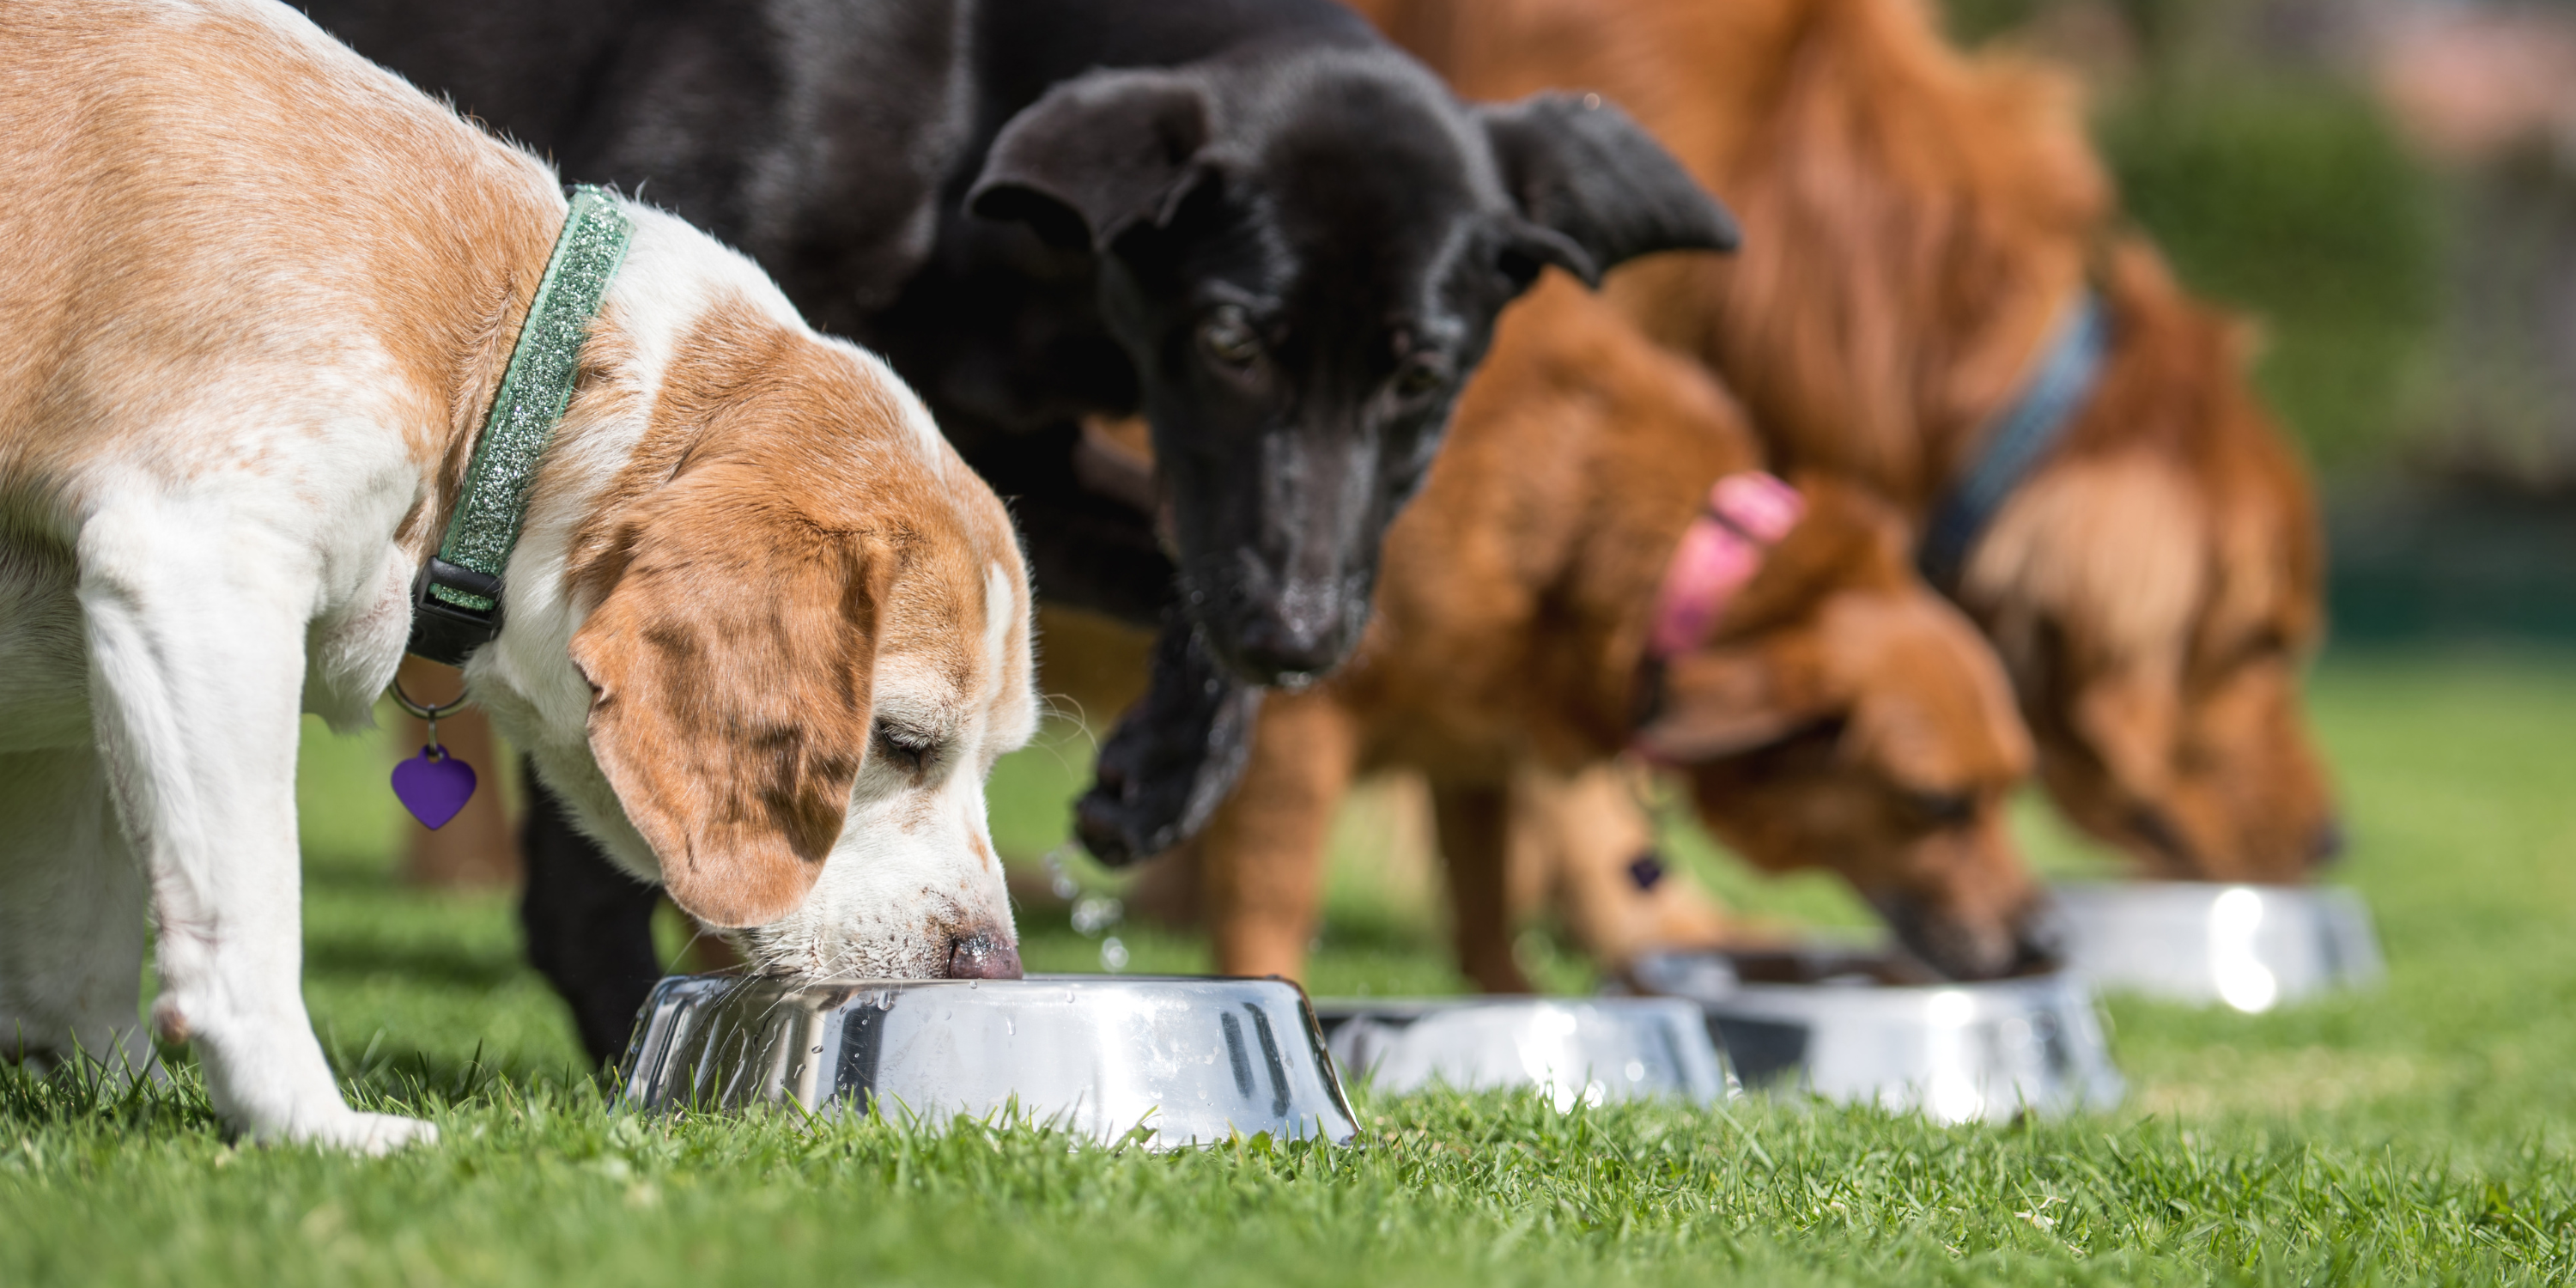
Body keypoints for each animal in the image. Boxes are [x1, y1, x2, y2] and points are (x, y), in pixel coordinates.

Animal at [0, 0, 1036, 1149]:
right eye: (900, 742)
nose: (996, 967)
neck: (511, 359)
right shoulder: (198, 569)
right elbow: (247, 917)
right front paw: (311, 1127)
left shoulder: (79, 695)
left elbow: (75, 955)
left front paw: (117, 1088)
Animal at [312, 0, 1741, 1061]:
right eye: (1231, 341)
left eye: (1424, 378)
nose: (1300, 637)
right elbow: (609, 836)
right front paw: (632, 1031)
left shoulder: (1001, 453)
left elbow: (1172, 573)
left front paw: (1169, 768)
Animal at [1195, 282, 2040, 984]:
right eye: (1936, 803)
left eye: (2011, 785)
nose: (2047, 941)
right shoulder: (1296, 727)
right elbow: (1274, 907)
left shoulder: (1471, 756)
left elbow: (1485, 915)